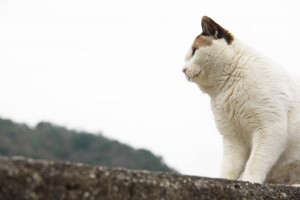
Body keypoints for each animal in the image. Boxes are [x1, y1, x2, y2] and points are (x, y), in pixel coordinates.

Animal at [182, 16, 300, 184]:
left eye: (194, 51)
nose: (183, 70)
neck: (226, 87)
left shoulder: (269, 128)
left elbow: (254, 163)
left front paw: (250, 181)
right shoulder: (232, 139)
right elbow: (229, 168)